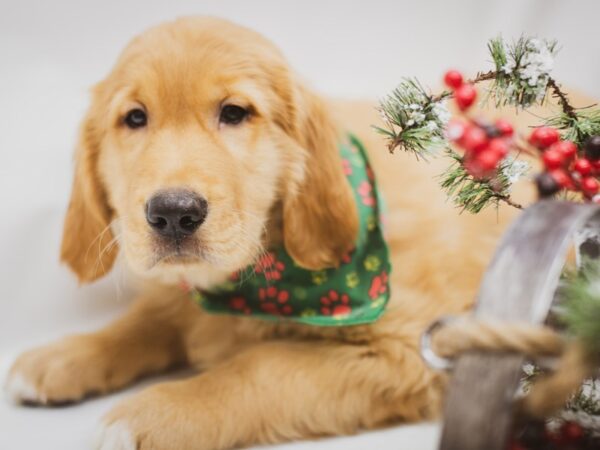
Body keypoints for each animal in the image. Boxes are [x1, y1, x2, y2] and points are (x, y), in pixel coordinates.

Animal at [7, 15, 524, 448]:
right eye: (134, 118)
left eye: (235, 113)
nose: (173, 213)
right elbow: (147, 320)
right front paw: (62, 356)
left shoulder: (406, 349)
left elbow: (257, 366)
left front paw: (155, 412)